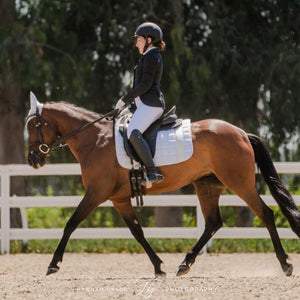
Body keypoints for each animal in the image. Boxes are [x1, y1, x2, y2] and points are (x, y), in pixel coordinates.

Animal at [26, 93, 300, 276]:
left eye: (33, 125)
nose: (33, 160)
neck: (94, 140)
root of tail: (242, 133)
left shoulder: (96, 193)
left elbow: (71, 223)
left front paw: (53, 264)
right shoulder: (119, 199)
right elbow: (137, 231)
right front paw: (158, 266)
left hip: (240, 184)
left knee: (265, 214)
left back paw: (285, 264)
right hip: (207, 186)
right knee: (213, 223)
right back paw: (185, 264)